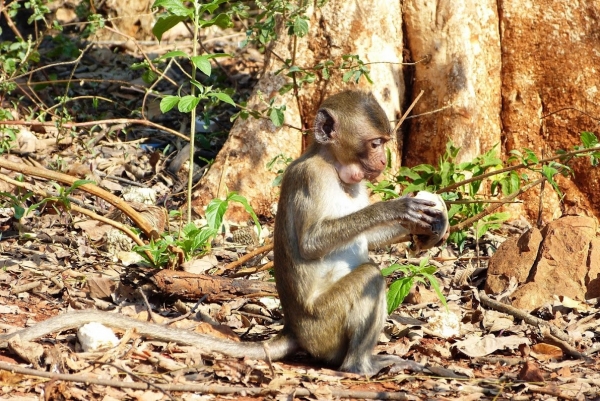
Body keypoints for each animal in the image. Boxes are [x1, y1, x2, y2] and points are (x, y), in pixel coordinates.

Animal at [0, 89, 450, 376]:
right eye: (374, 143)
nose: (383, 161)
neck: (336, 168)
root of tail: (295, 330)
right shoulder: (311, 177)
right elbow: (310, 243)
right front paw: (399, 207)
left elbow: (365, 240)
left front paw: (428, 227)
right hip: (323, 328)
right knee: (370, 276)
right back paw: (359, 367)